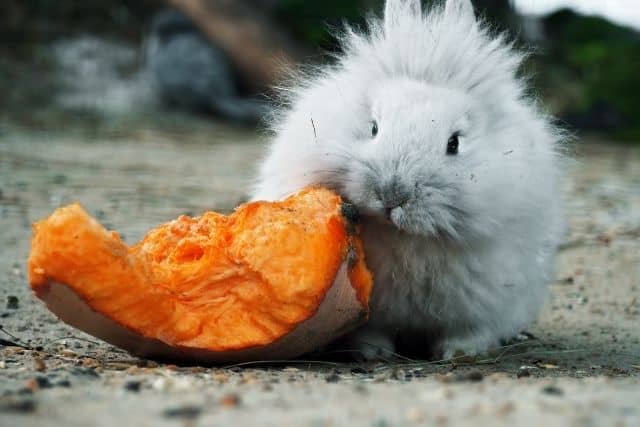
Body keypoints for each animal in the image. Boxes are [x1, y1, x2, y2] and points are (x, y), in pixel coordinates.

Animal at [252, 0, 566, 360]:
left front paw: (459, 353)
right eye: (374, 127)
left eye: (454, 143)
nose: (392, 194)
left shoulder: (482, 302)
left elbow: (468, 331)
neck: (403, 235)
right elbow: (371, 331)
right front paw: (373, 353)